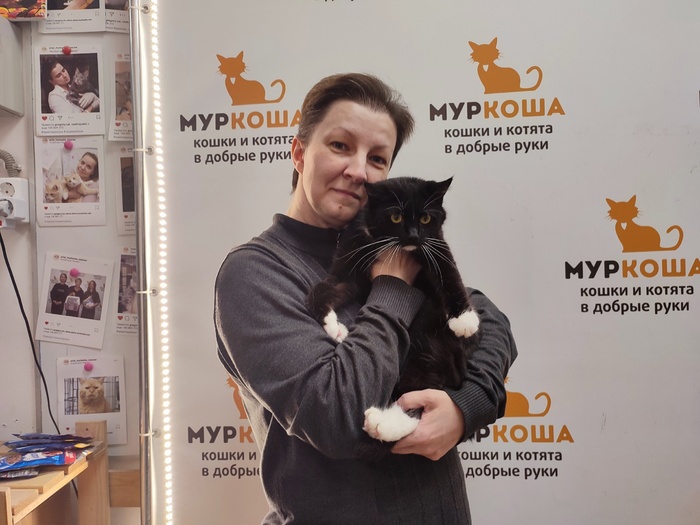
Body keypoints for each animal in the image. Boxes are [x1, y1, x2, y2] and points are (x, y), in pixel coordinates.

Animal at [306, 176, 479, 459]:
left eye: (425, 218)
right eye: (396, 217)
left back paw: (383, 423)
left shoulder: (435, 244)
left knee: (425, 388)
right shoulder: (353, 260)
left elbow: (449, 270)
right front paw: (333, 326)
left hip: (430, 341)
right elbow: (322, 289)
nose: (413, 235)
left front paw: (465, 320)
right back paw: (382, 423)